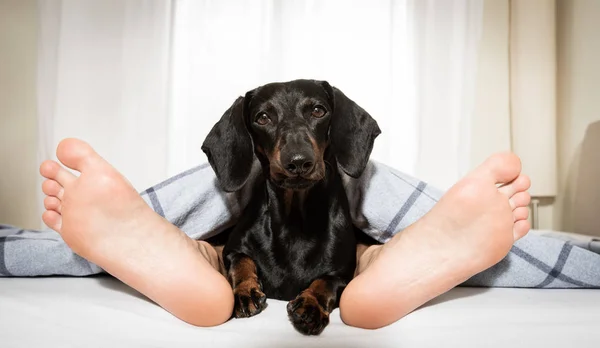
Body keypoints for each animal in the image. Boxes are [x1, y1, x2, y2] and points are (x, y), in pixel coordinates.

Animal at [202, 79, 380, 334]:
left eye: (318, 111)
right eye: (263, 117)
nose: (298, 162)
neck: (295, 220)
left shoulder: (343, 274)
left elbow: (326, 282)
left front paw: (310, 304)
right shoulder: (232, 250)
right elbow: (242, 262)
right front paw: (245, 292)